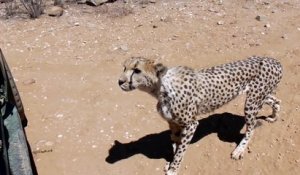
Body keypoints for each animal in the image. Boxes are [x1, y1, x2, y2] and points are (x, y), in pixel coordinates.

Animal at [118, 56, 284, 175]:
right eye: (124, 67)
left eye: (137, 70)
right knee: (276, 101)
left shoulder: (191, 124)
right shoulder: (173, 123)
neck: (161, 88)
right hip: (260, 96)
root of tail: (274, 61)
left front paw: (173, 169)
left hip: (251, 102)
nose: (120, 81)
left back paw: (239, 150)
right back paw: (273, 117)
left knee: (252, 127)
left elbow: (181, 149)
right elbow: (175, 144)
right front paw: (171, 163)